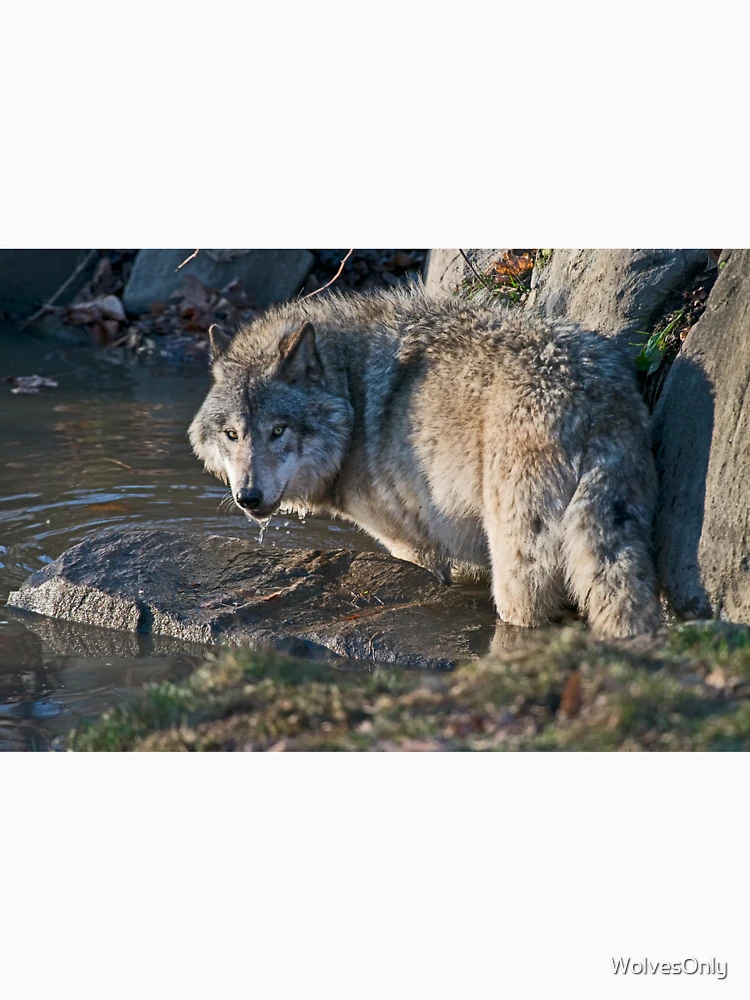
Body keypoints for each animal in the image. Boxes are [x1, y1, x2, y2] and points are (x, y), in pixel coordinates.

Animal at [189, 284, 660, 638]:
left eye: (278, 430)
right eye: (232, 434)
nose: (248, 497)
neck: (351, 391)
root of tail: (587, 396)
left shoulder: (413, 546)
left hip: (516, 569)